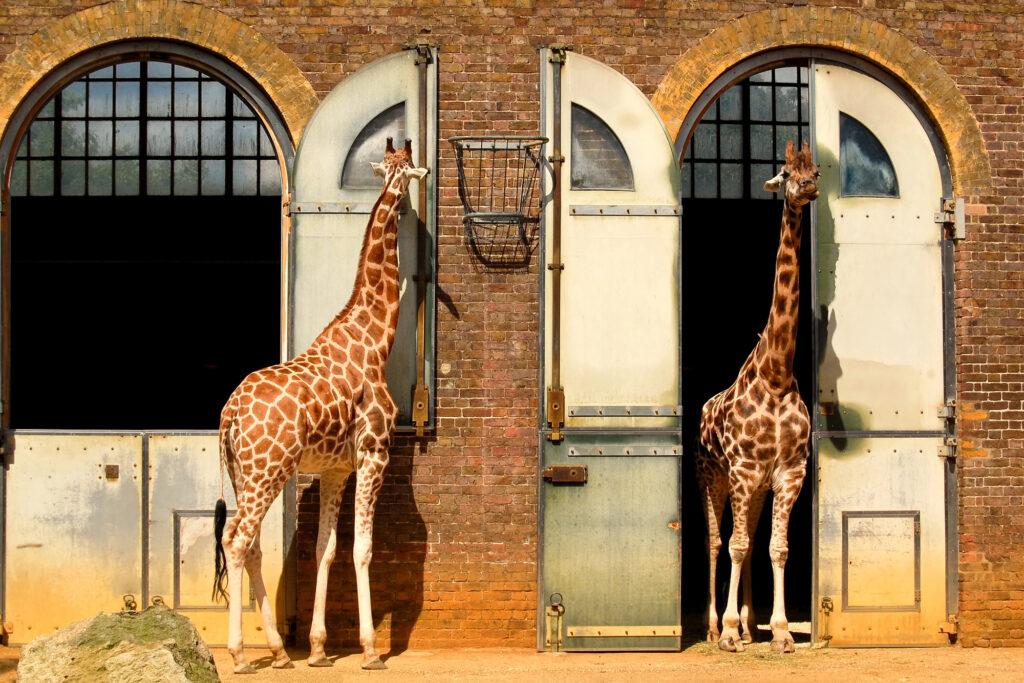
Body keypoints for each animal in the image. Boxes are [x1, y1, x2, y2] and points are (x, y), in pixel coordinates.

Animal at [211, 138, 427, 673]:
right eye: (407, 172)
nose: (406, 207)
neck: (375, 337)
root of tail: (228, 416)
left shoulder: (335, 469)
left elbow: (325, 550)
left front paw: (317, 648)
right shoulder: (374, 454)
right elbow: (364, 550)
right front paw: (370, 649)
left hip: (245, 473)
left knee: (248, 546)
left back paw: (277, 651)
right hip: (267, 471)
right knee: (237, 540)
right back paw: (240, 654)